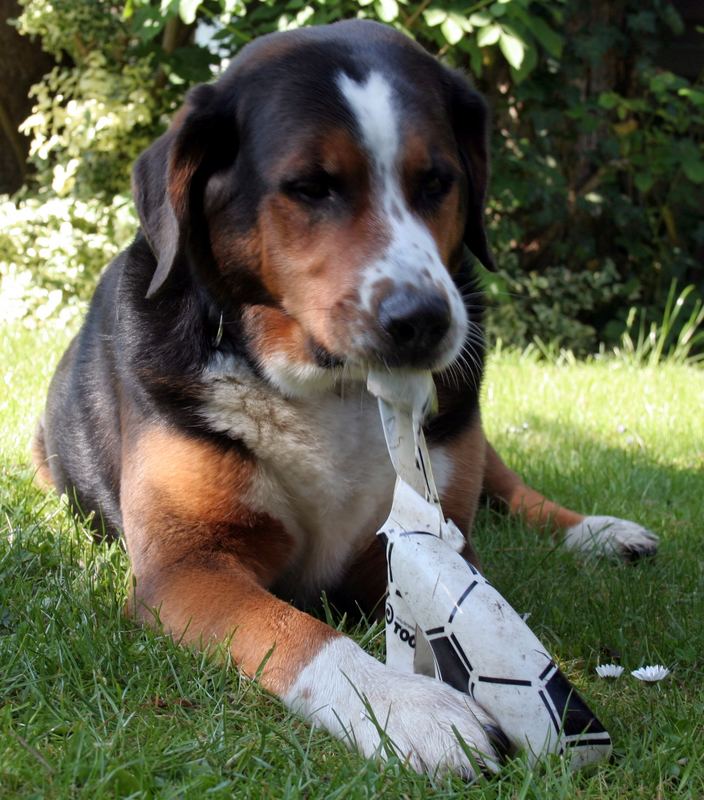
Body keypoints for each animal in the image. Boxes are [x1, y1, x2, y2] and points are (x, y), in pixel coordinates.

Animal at [34, 21, 660, 780]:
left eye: (437, 181)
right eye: (310, 187)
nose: (424, 320)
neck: (331, 390)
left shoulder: (426, 540)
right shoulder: (187, 565)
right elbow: (298, 632)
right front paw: (408, 708)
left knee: (510, 485)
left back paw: (599, 532)